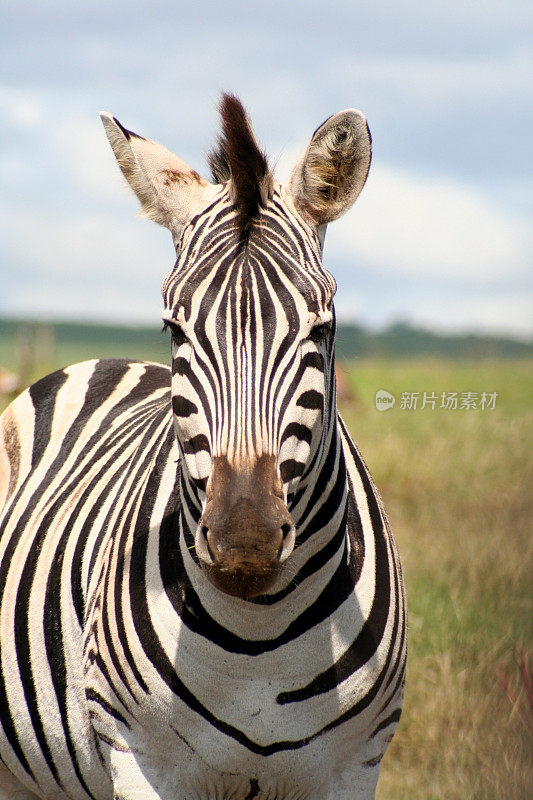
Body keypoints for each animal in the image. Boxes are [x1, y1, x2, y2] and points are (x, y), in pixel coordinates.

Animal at [1, 95, 404, 800]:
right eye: (174, 328)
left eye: (322, 329)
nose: (245, 541)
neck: (260, 632)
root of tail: (103, 361)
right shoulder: (141, 759)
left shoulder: (355, 764)